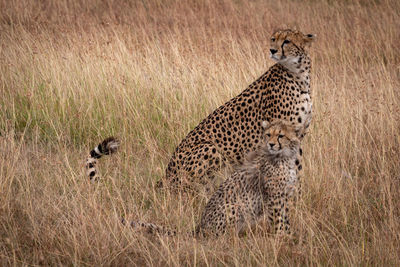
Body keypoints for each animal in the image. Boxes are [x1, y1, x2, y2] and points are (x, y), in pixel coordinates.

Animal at [125, 121, 304, 237]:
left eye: (281, 136)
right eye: (268, 135)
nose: (271, 144)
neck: (284, 157)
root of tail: (200, 227)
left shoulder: (284, 195)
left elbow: (285, 218)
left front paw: (288, 235)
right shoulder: (273, 197)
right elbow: (278, 219)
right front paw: (281, 237)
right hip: (234, 206)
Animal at [159, 29, 316, 192]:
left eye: (287, 41)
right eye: (273, 39)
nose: (272, 50)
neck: (300, 76)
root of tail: (166, 175)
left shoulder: (296, 135)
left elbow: (296, 166)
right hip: (210, 148)